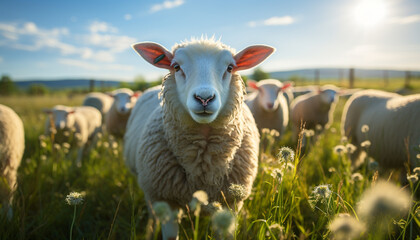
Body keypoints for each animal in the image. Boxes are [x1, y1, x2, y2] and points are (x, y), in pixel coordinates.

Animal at [124, 38, 276, 239]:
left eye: (229, 68)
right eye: (176, 66)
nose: (204, 98)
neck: (202, 167)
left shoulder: (230, 203)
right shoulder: (166, 199)